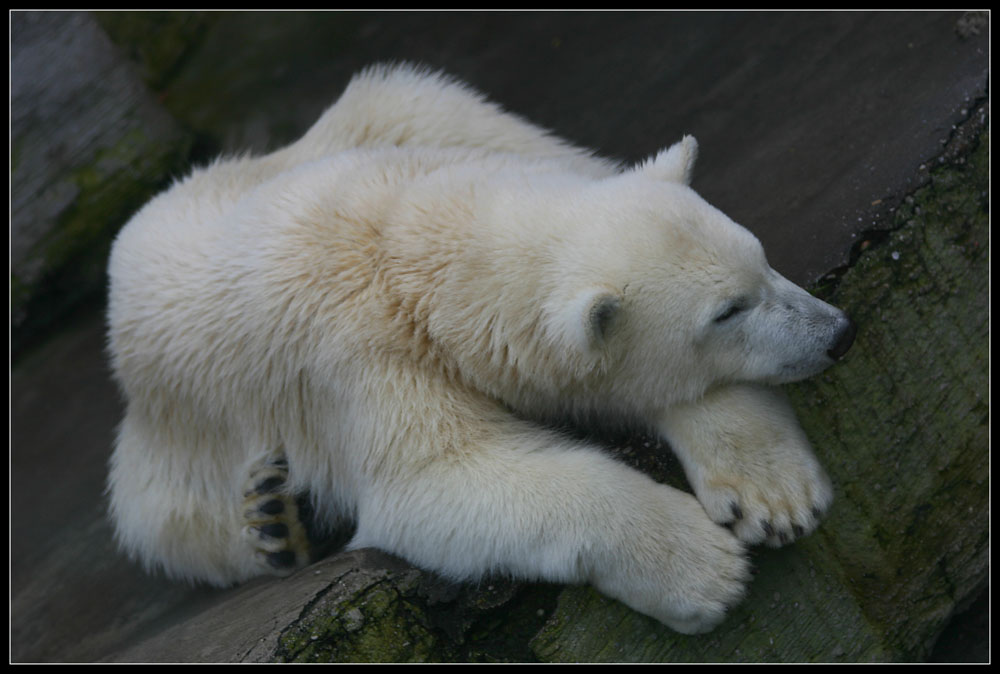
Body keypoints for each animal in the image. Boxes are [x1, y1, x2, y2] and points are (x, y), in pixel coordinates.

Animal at [107, 61, 852, 632]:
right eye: (727, 311)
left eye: (763, 264)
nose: (837, 334)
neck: (407, 237)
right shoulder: (363, 367)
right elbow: (441, 481)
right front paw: (702, 569)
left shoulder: (475, 154)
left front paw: (774, 495)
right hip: (178, 432)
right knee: (169, 525)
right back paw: (272, 517)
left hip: (407, 109)